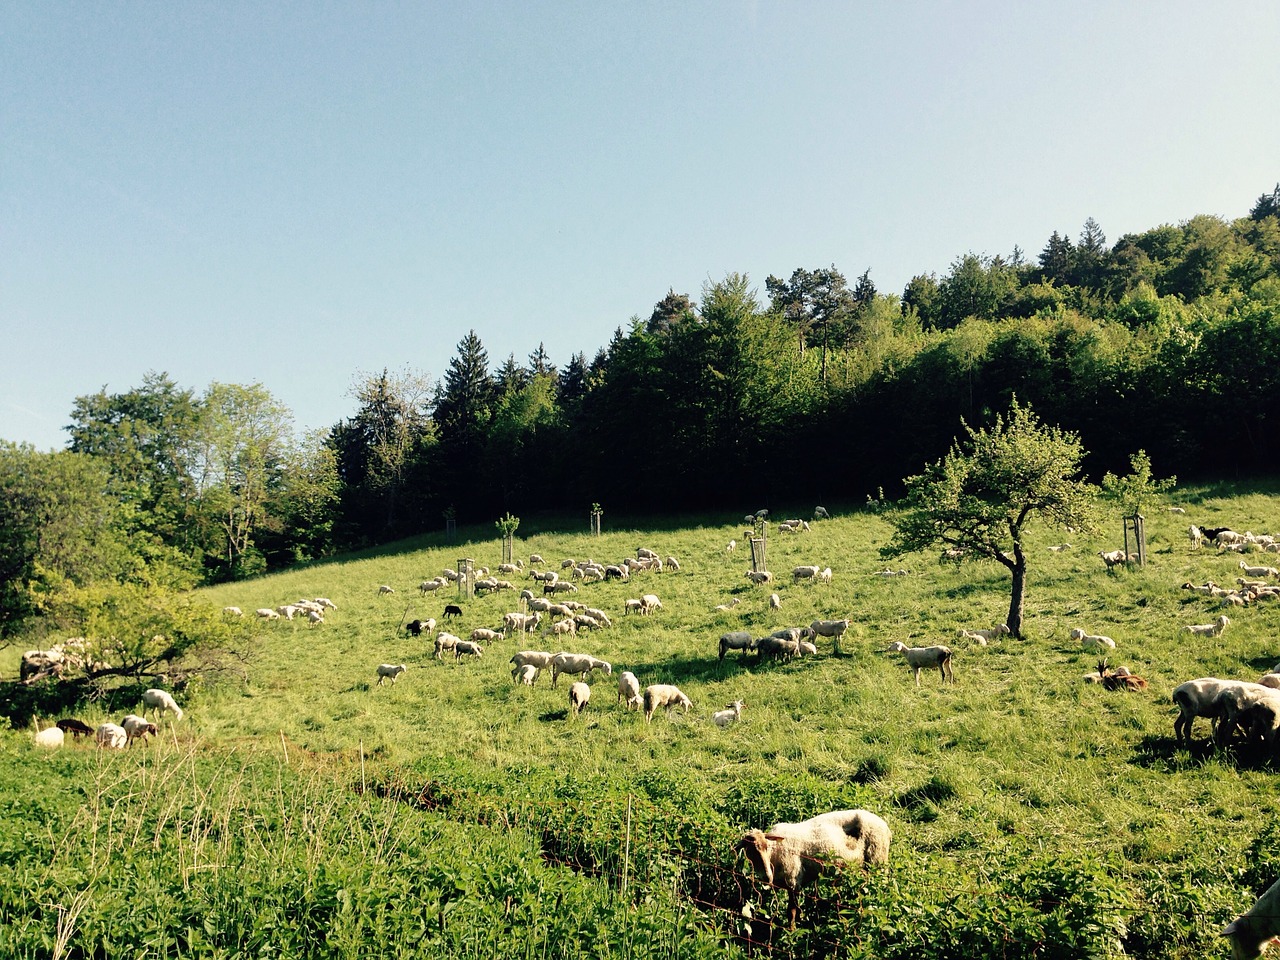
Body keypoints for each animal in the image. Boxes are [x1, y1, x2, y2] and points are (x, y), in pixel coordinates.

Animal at [742, 814, 890, 931]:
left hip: (878, 860)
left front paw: (791, 932)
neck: (774, 854)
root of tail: (886, 828)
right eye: (749, 853)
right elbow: (797, 909)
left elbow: (791, 911)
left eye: (767, 847)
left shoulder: (793, 880)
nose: (767, 876)